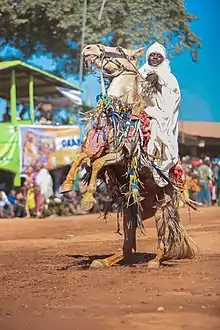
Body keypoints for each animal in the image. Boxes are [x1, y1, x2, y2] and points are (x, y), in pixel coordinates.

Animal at [60, 43, 194, 270]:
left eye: (119, 49)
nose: (88, 48)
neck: (118, 115)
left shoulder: (119, 156)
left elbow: (98, 164)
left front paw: (87, 200)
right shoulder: (94, 149)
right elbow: (81, 159)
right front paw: (67, 185)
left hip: (162, 205)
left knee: (163, 238)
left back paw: (156, 261)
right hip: (130, 207)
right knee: (128, 245)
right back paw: (103, 262)